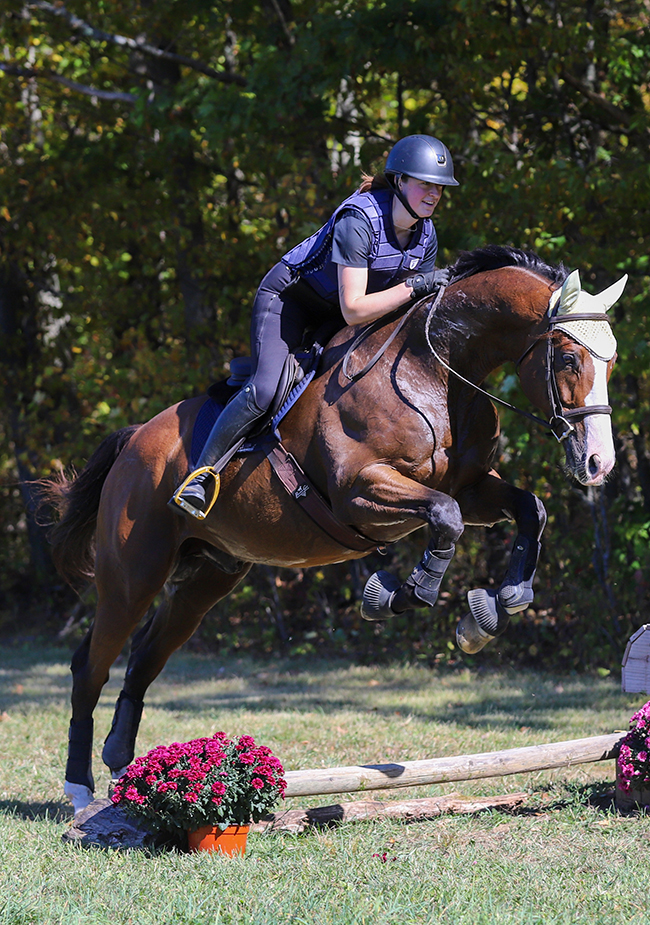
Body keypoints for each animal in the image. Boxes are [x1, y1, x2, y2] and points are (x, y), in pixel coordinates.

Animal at [40, 245, 626, 814]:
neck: (436, 373)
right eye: (568, 358)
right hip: (133, 574)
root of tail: (137, 439)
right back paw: (79, 789)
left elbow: (529, 509)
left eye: (613, 362)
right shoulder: (360, 492)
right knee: (90, 666)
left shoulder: (474, 486)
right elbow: (444, 517)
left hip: (208, 578)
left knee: (143, 658)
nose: (598, 464)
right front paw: (398, 594)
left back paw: (122, 767)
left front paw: (498, 606)